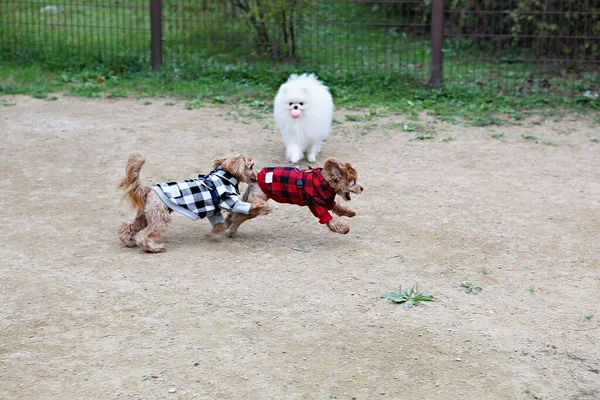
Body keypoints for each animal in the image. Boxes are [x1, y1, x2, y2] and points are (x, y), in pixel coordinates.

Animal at [118, 152, 268, 252]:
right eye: (251, 166)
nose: (255, 177)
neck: (225, 176)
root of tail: (149, 190)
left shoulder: (214, 211)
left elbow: (219, 223)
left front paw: (216, 234)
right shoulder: (230, 201)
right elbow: (248, 205)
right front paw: (263, 207)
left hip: (145, 216)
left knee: (129, 227)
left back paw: (129, 242)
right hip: (160, 218)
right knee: (146, 237)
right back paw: (156, 248)